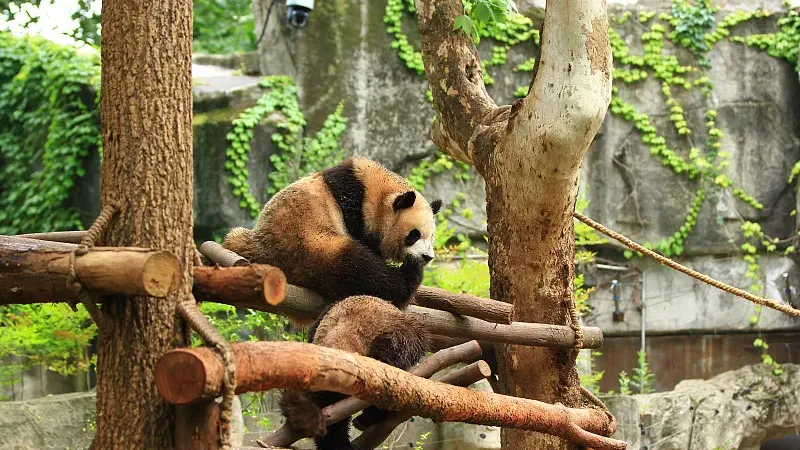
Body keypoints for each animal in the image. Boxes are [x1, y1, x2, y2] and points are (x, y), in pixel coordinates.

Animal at [223, 156, 443, 318]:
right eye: (414, 234)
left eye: (432, 237)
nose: (427, 257)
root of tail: (261, 251)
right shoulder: (354, 209)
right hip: (309, 246)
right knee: (358, 268)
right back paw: (409, 277)